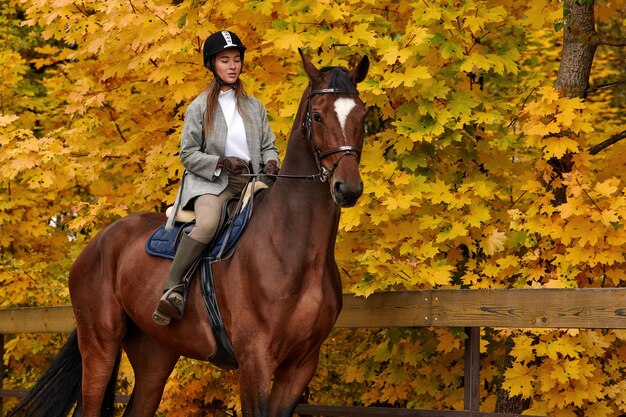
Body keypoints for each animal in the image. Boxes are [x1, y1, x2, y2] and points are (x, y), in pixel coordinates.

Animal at [9, 49, 368, 416]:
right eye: (318, 116)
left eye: (362, 114)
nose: (348, 188)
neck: (293, 249)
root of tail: (97, 244)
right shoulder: (255, 360)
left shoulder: (300, 366)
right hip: (99, 345)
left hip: (155, 353)